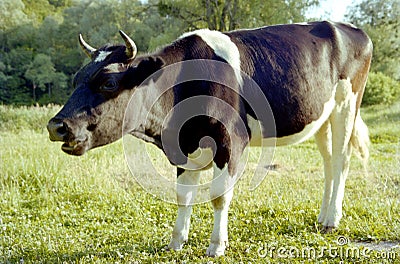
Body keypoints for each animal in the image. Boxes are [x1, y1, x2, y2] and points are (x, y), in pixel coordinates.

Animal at [48, 21, 374, 256]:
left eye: (108, 82)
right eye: (76, 79)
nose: (56, 126)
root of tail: (347, 28)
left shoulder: (231, 142)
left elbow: (219, 196)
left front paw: (216, 245)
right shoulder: (184, 148)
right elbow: (183, 196)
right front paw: (176, 242)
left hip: (347, 105)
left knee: (342, 160)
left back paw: (332, 219)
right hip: (321, 117)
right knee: (329, 162)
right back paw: (323, 216)